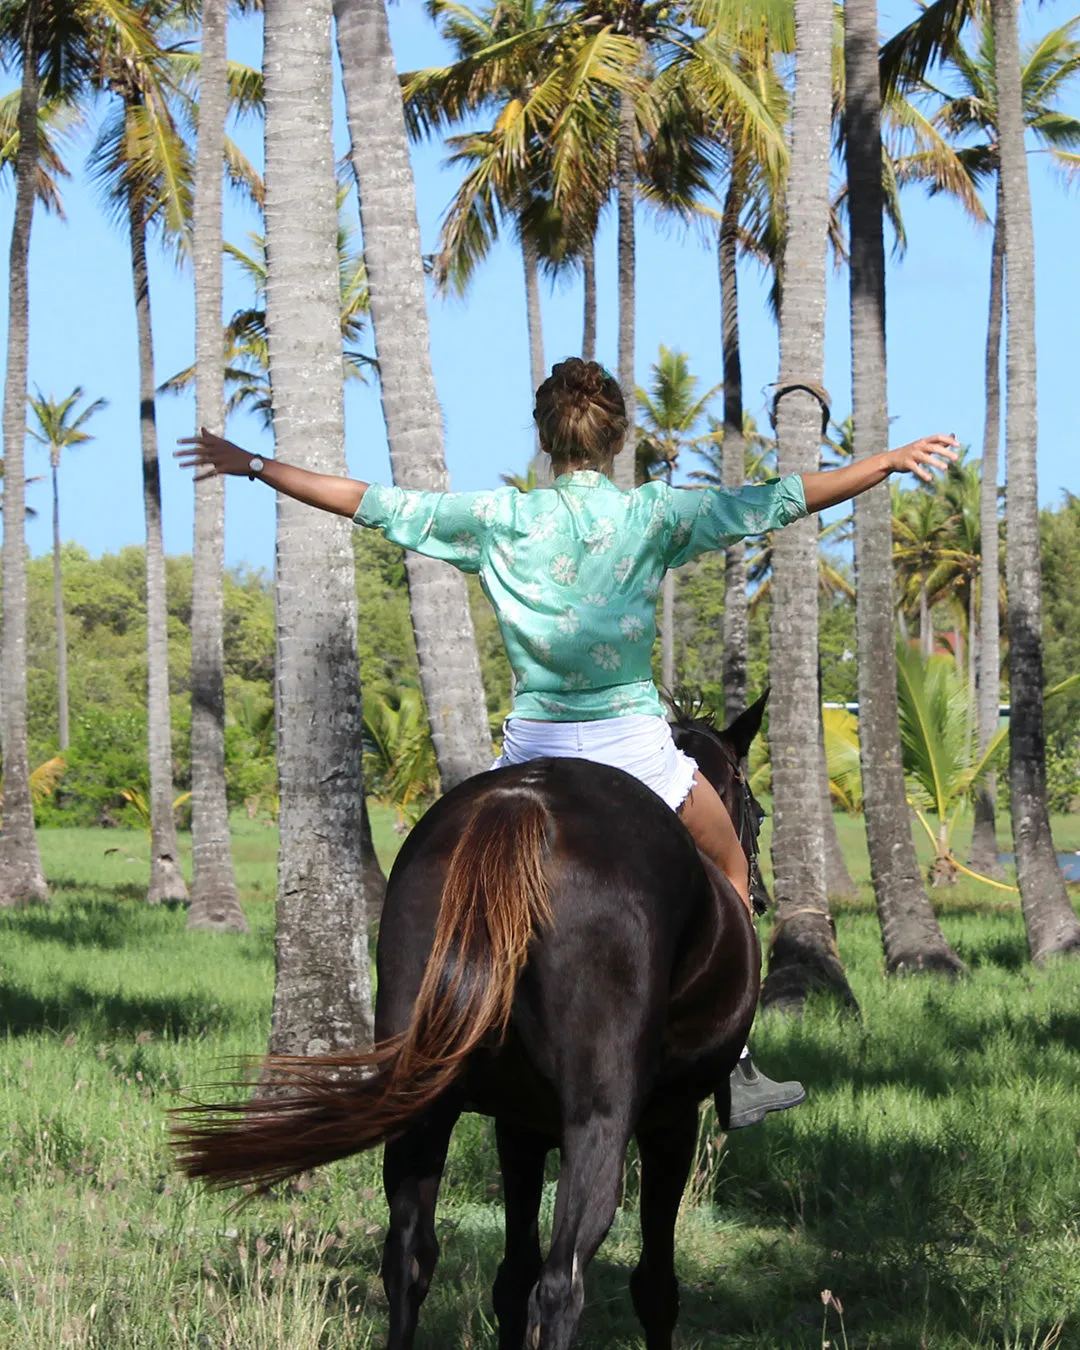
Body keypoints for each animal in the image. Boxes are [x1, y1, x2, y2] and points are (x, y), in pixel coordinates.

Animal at [175, 696, 766, 1350]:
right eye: (756, 812)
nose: (760, 896)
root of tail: (521, 804)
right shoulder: (672, 1119)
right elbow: (654, 1287)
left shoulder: (519, 1124)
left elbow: (510, 1276)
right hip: (599, 1121)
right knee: (561, 1284)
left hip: (423, 1097)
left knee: (409, 1257)